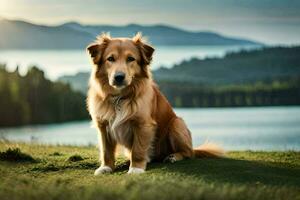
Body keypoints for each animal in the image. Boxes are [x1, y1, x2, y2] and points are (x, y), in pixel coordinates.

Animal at [85, 32, 224, 174]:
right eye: (110, 59)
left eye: (130, 59)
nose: (119, 77)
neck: (120, 97)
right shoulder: (103, 125)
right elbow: (106, 150)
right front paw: (106, 167)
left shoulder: (143, 124)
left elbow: (138, 150)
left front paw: (136, 169)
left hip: (176, 124)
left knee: (188, 153)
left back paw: (173, 156)